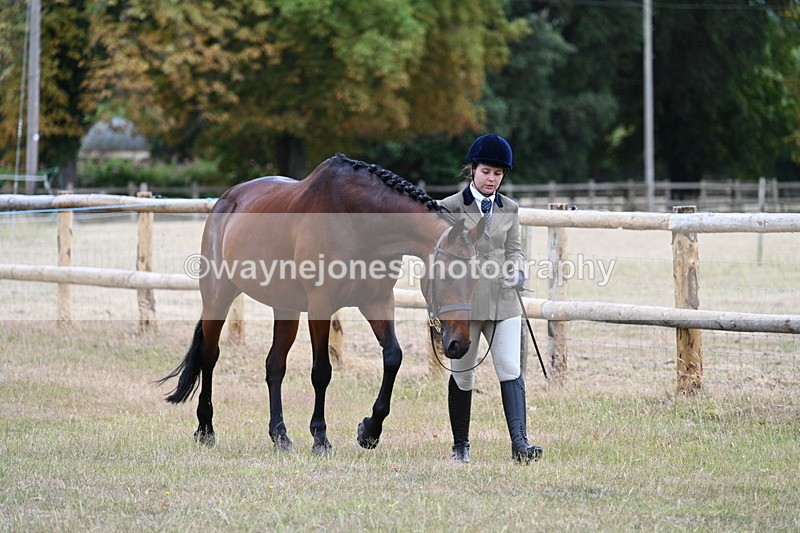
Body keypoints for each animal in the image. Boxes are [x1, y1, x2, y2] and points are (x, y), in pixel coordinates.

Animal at [158, 153, 486, 454]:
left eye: (477, 279)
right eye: (446, 276)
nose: (459, 344)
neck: (358, 222)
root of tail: (226, 200)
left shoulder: (377, 302)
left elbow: (393, 356)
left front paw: (369, 431)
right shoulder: (321, 306)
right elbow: (322, 371)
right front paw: (320, 437)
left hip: (286, 308)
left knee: (274, 365)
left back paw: (280, 436)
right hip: (218, 297)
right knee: (209, 356)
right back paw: (206, 429)